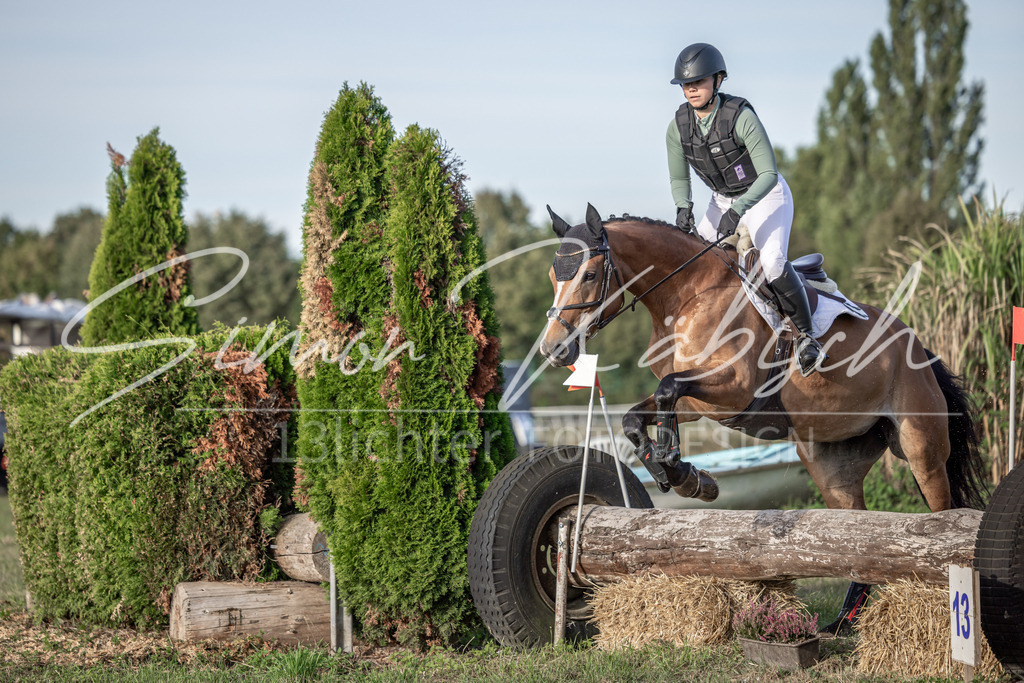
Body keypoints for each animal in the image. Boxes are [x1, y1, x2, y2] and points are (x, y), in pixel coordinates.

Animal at [538, 204, 989, 633]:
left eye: (590, 274)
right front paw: (682, 474)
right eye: (553, 276)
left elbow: (667, 388)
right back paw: (843, 623)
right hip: (831, 464)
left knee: (940, 513)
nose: (554, 350)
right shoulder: (702, 405)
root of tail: (918, 346)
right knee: (857, 534)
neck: (687, 295)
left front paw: (678, 467)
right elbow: (636, 417)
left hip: (921, 447)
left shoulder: (733, 387)